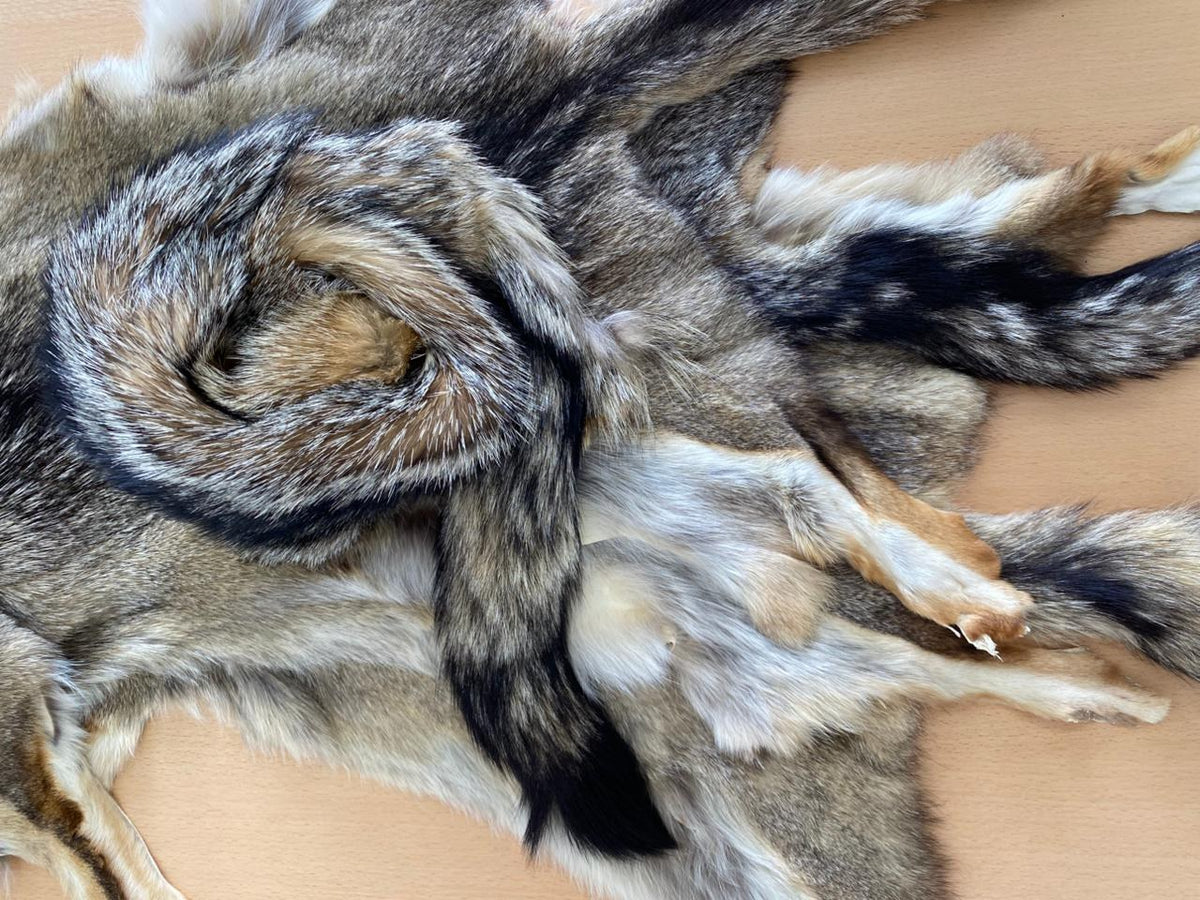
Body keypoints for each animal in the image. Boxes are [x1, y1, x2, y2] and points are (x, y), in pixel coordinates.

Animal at [1, 0, 1200, 898]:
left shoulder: (29, 744)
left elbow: (96, 861)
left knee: (843, 441)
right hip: (729, 617)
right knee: (945, 323)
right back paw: (1035, 638)